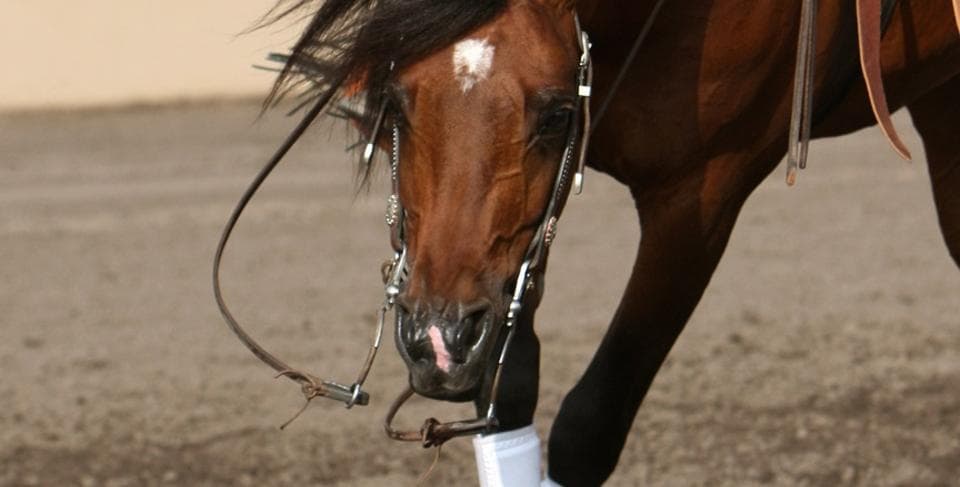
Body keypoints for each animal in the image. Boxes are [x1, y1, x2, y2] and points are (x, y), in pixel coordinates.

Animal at [215, 0, 960, 484]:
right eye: (395, 101)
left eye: (555, 114)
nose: (438, 339)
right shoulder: (513, 256)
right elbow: (508, 397)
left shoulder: (699, 200)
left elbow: (588, 426)